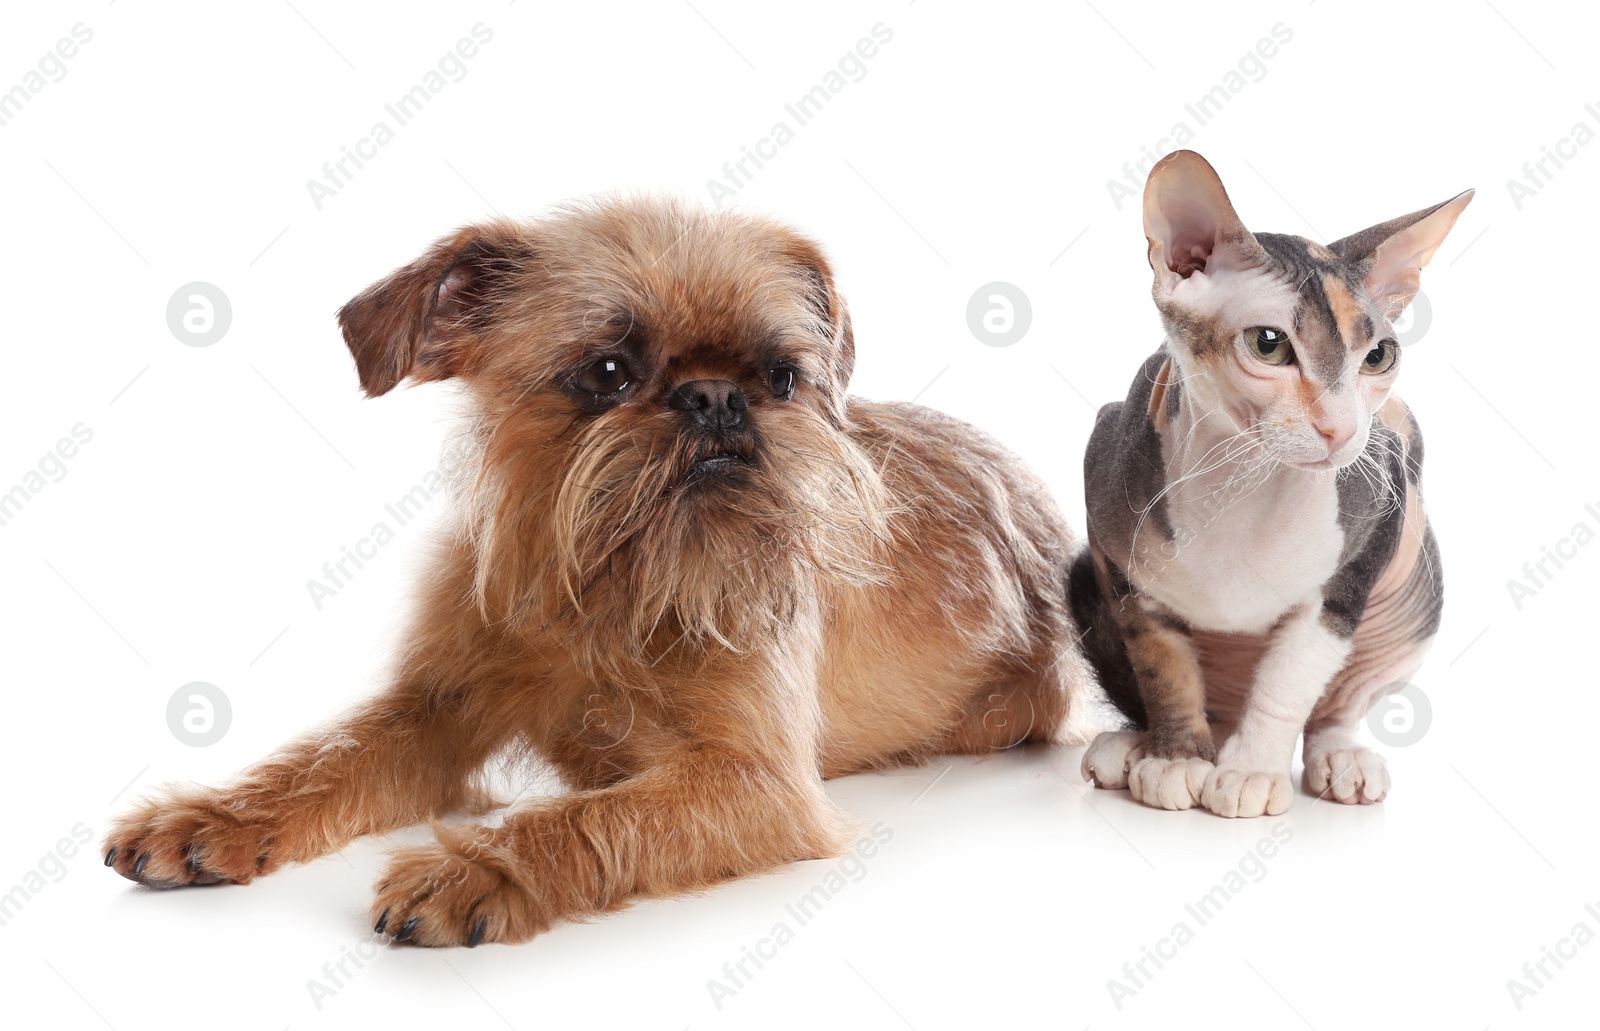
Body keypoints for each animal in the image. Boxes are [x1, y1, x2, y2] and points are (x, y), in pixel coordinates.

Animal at [106, 197, 1094, 947]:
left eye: (781, 377)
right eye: (609, 371)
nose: (716, 397)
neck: (597, 584)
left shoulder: (754, 784)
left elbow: (590, 815)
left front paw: (481, 865)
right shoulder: (433, 708)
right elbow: (327, 753)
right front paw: (216, 816)